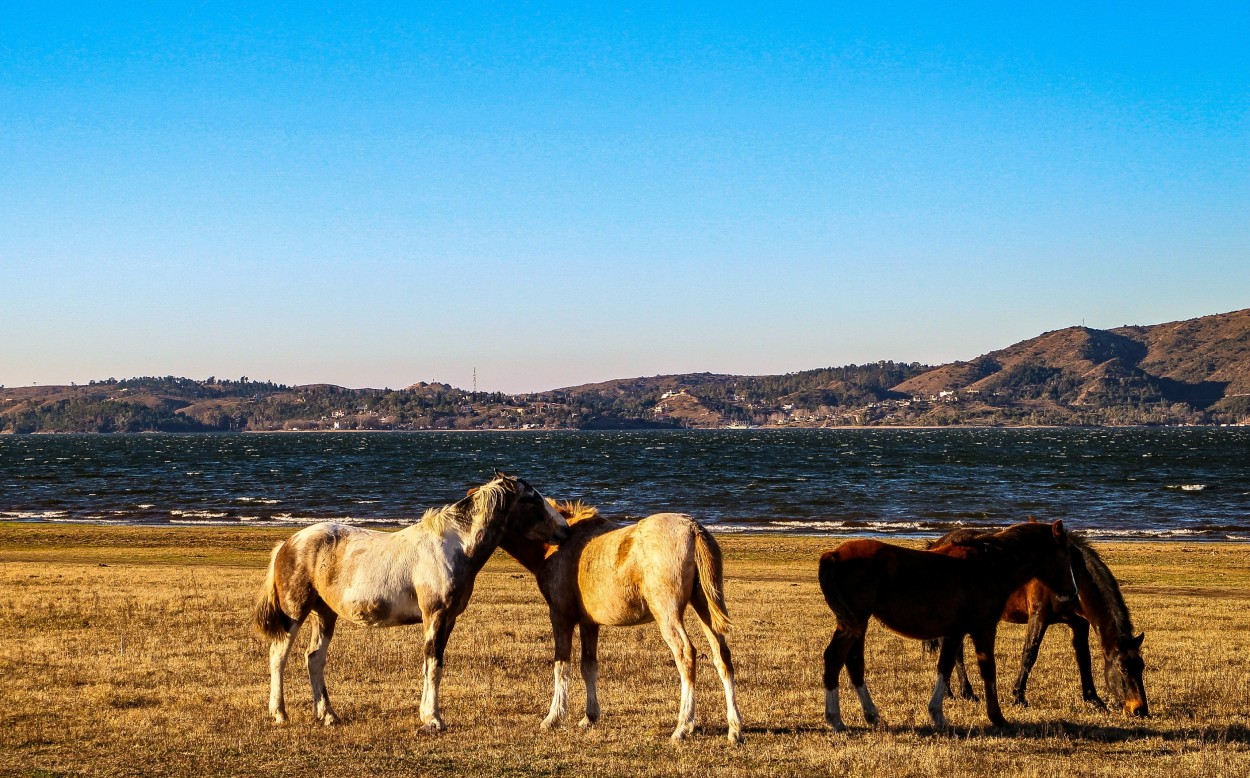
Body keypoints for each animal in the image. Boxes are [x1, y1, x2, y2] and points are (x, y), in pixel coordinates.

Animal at [252, 472, 572, 735]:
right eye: (532, 499)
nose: (565, 529)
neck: (453, 548)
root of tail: (288, 543)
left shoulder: (449, 619)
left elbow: (434, 664)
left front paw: (427, 714)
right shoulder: (435, 616)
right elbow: (433, 664)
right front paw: (433, 719)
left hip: (325, 614)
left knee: (315, 658)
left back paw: (328, 715)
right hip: (295, 612)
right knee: (278, 656)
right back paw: (279, 713)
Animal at [497, 502, 740, 745]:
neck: (560, 543)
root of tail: (692, 528)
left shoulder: (560, 617)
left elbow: (561, 667)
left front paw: (553, 717)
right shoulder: (588, 623)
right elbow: (588, 666)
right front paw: (590, 716)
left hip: (667, 614)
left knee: (686, 654)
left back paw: (683, 726)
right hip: (704, 608)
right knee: (722, 657)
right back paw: (734, 729)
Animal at [820, 520, 1075, 735]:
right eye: (1067, 556)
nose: (1071, 593)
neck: (989, 567)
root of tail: (834, 554)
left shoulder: (955, 632)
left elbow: (946, 666)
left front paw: (938, 714)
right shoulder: (984, 629)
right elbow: (987, 670)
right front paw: (997, 717)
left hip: (856, 624)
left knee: (853, 663)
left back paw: (871, 716)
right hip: (854, 623)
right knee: (835, 658)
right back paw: (836, 719)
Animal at [925, 530, 1145, 720]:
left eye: (1141, 667)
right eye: (1124, 669)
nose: (1139, 709)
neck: (1073, 573)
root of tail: (937, 544)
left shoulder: (1079, 624)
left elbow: (1084, 658)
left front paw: (1094, 699)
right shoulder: (1039, 616)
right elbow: (1030, 653)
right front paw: (1018, 696)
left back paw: (954, 692)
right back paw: (964, 692)